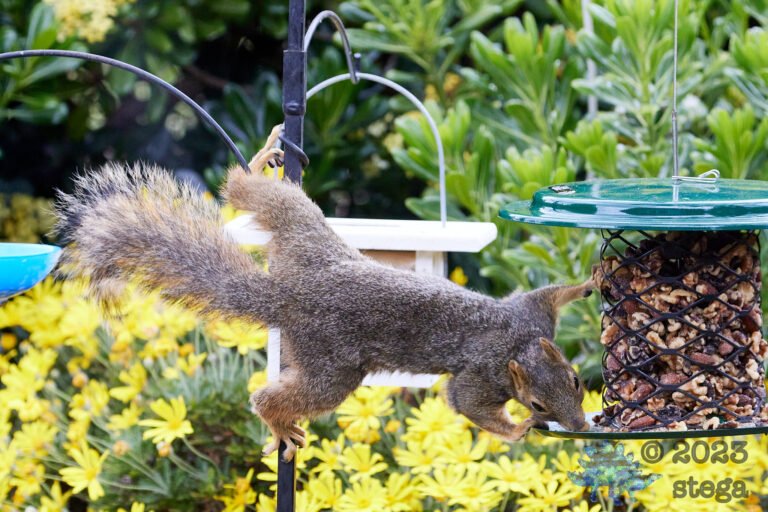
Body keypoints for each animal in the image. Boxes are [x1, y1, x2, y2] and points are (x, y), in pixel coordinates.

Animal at [53, 136, 593, 462]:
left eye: (576, 379)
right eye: (537, 403)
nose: (578, 424)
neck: (517, 345)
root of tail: (284, 293)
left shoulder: (530, 313)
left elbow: (551, 293)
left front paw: (588, 282)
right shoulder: (482, 375)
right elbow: (466, 403)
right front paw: (517, 431)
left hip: (301, 228)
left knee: (252, 192)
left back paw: (258, 162)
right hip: (332, 368)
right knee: (279, 396)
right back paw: (278, 421)